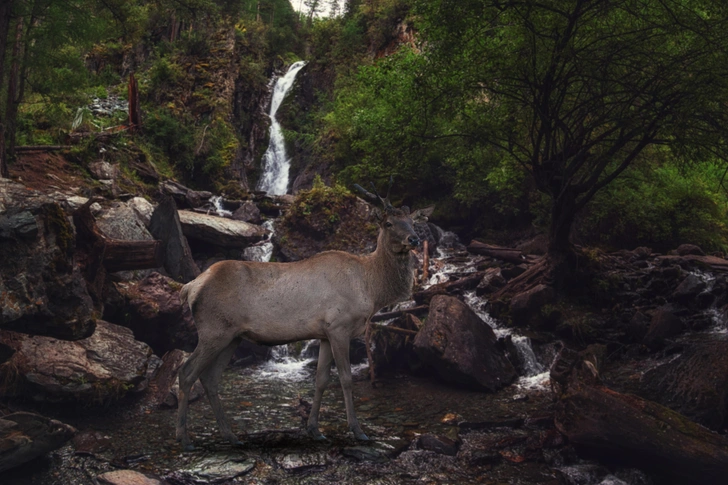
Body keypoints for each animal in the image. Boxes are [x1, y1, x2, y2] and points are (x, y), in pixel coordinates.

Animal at [176, 182, 436, 450]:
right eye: (388, 223)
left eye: (412, 222)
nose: (414, 238)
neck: (371, 289)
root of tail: (190, 287)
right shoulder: (339, 326)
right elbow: (345, 378)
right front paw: (357, 430)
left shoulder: (324, 333)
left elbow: (321, 379)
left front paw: (314, 429)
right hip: (213, 330)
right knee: (186, 372)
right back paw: (184, 438)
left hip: (232, 336)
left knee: (210, 378)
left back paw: (230, 435)